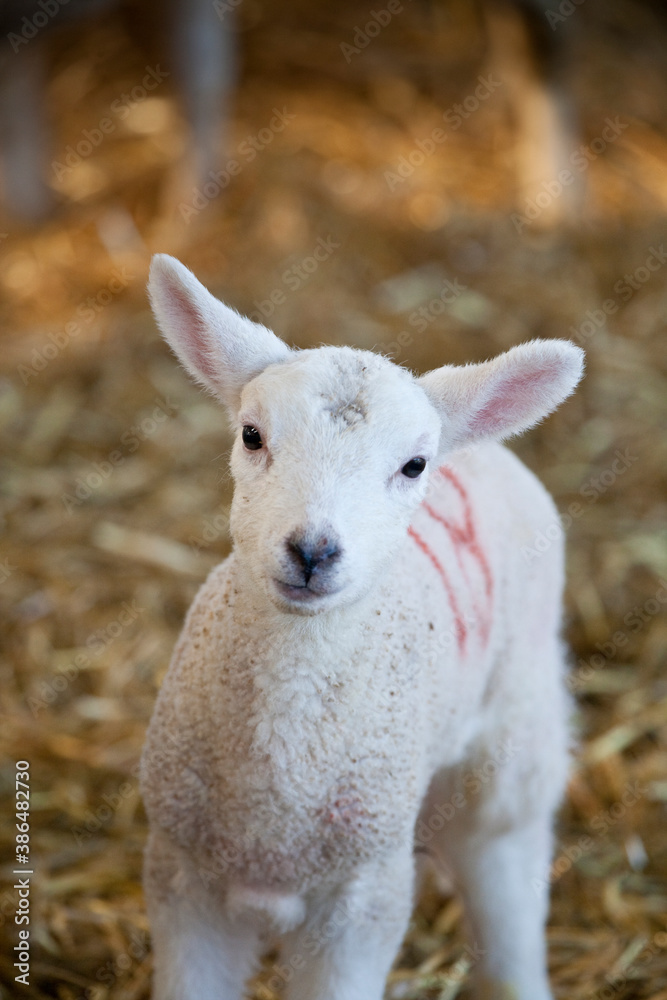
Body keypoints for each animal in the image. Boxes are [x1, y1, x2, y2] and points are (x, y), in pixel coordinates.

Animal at [140, 252, 584, 1000]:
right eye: (251, 435)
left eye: (413, 465)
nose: (313, 551)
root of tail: (485, 447)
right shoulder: (182, 881)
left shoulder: (361, 903)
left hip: (512, 748)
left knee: (507, 887)